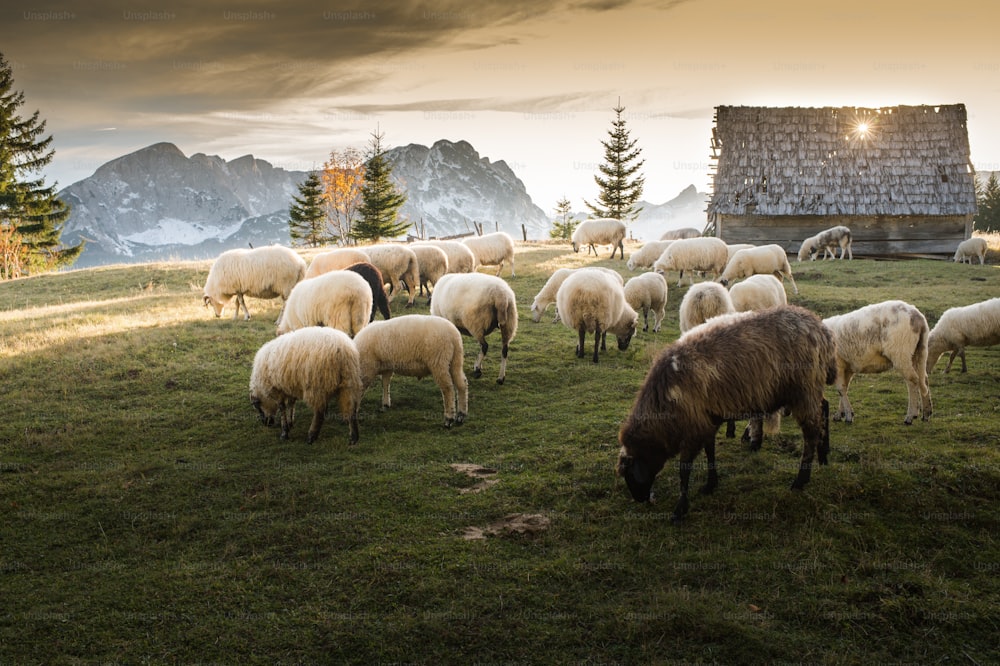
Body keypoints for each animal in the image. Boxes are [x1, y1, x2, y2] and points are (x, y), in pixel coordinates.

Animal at [616, 304, 836, 520]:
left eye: (631, 474)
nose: (640, 499)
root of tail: (821, 329)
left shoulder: (692, 428)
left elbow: (684, 469)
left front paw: (680, 509)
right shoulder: (707, 420)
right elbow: (710, 452)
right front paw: (710, 484)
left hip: (803, 389)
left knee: (811, 432)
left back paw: (800, 480)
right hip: (810, 388)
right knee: (824, 407)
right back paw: (823, 455)